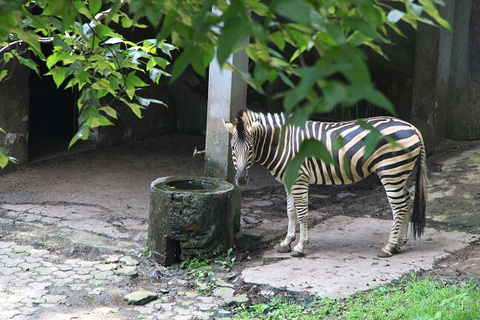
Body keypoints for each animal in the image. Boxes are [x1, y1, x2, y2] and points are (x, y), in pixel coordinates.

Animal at [223, 109, 430, 258]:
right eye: (233, 148)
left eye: (250, 148)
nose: (241, 180)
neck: (284, 143)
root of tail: (413, 127)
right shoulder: (289, 181)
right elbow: (290, 212)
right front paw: (286, 243)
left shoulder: (299, 179)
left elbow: (302, 214)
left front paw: (299, 247)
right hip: (398, 173)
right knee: (407, 202)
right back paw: (399, 244)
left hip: (391, 171)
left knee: (399, 207)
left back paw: (389, 248)